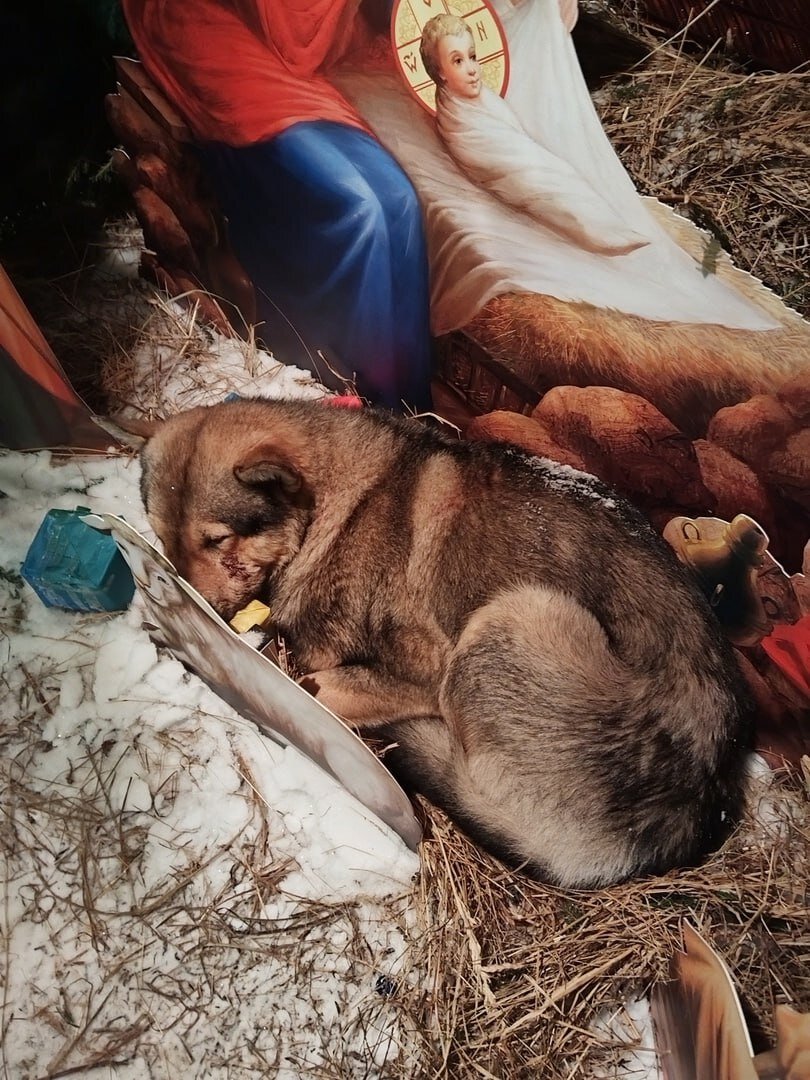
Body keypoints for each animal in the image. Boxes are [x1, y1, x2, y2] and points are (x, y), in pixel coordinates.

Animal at [141, 401, 756, 889]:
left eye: (217, 539)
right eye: (160, 535)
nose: (182, 595)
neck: (341, 506)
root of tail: (684, 814)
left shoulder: (426, 661)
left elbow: (343, 679)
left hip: (514, 614)